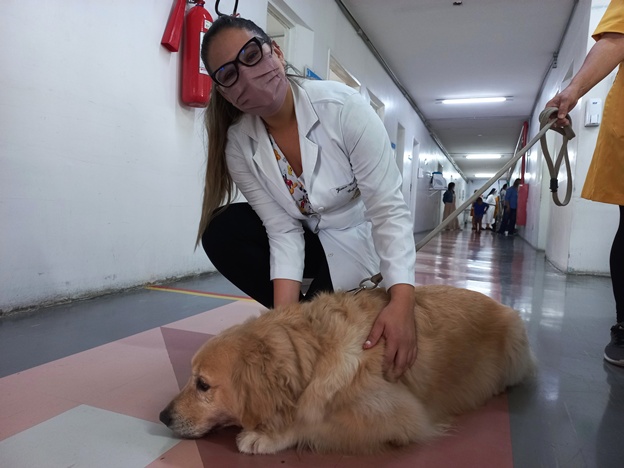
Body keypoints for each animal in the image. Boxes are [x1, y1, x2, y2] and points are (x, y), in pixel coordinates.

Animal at [158, 286, 532, 454]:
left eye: (203, 385)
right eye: (190, 377)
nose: (162, 416)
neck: (312, 352)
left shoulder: (402, 416)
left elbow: (311, 423)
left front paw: (268, 435)